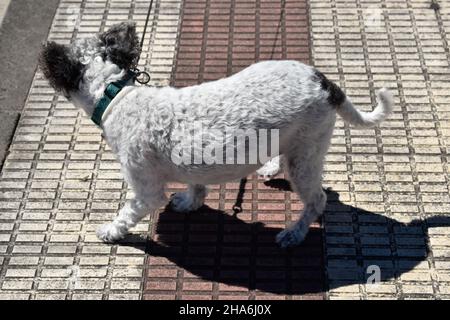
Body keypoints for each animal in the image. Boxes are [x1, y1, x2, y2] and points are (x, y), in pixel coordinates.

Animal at [38, 22, 392, 248]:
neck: (115, 94)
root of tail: (325, 82)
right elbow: (196, 185)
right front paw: (190, 201)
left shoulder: (145, 187)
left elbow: (129, 211)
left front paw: (111, 231)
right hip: (297, 142)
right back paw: (271, 168)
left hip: (307, 154)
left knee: (317, 200)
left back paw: (294, 233)